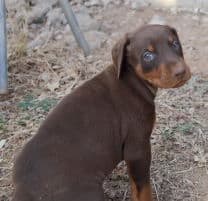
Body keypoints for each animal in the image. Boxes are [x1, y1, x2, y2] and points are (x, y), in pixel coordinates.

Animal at [12, 25, 192, 201]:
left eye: (175, 44)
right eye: (147, 55)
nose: (181, 71)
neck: (133, 80)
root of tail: (23, 191)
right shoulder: (138, 148)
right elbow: (143, 190)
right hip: (88, 192)